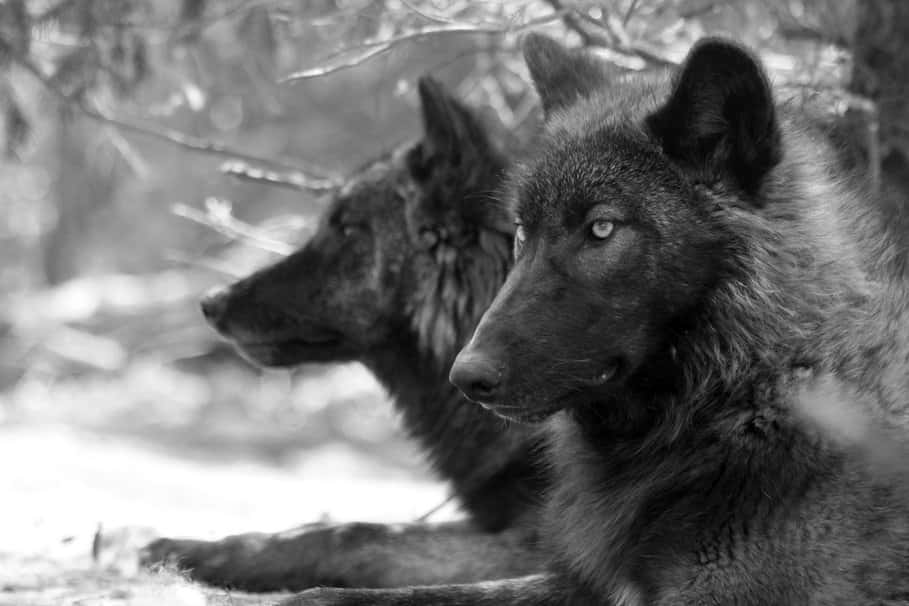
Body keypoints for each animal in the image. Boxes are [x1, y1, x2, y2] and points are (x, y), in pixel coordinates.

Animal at [272, 34, 909, 606]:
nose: (466, 376)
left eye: (601, 228)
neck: (747, 390)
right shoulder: (581, 580)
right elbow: (359, 591)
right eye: (521, 231)